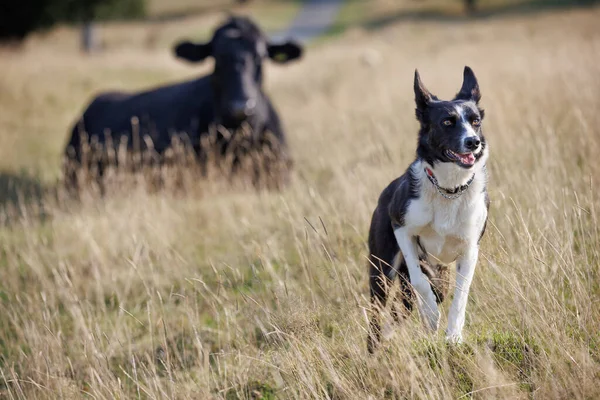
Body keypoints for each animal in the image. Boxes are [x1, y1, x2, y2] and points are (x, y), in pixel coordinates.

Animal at [366, 66, 488, 354]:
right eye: (447, 122)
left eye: (475, 121)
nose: (473, 142)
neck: (449, 189)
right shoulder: (402, 229)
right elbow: (420, 281)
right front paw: (431, 316)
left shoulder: (470, 249)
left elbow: (460, 297)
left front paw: (453, 336)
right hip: (382, 268)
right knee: (380, 310)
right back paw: (374, 348)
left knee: (404, 308)